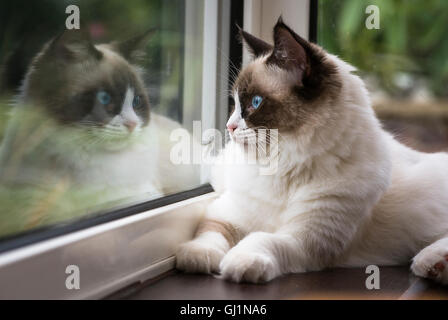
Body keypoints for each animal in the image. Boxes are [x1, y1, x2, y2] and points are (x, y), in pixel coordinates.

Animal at [176, 17, 448, 284]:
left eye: (255, 102)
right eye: (234, 104)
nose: (229, 126)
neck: (283, 162)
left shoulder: (304, 239)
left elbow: (261, 238)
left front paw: (240, 263)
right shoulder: (227, 215)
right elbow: (209, 234)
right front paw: (196, 258)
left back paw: (432, 264)